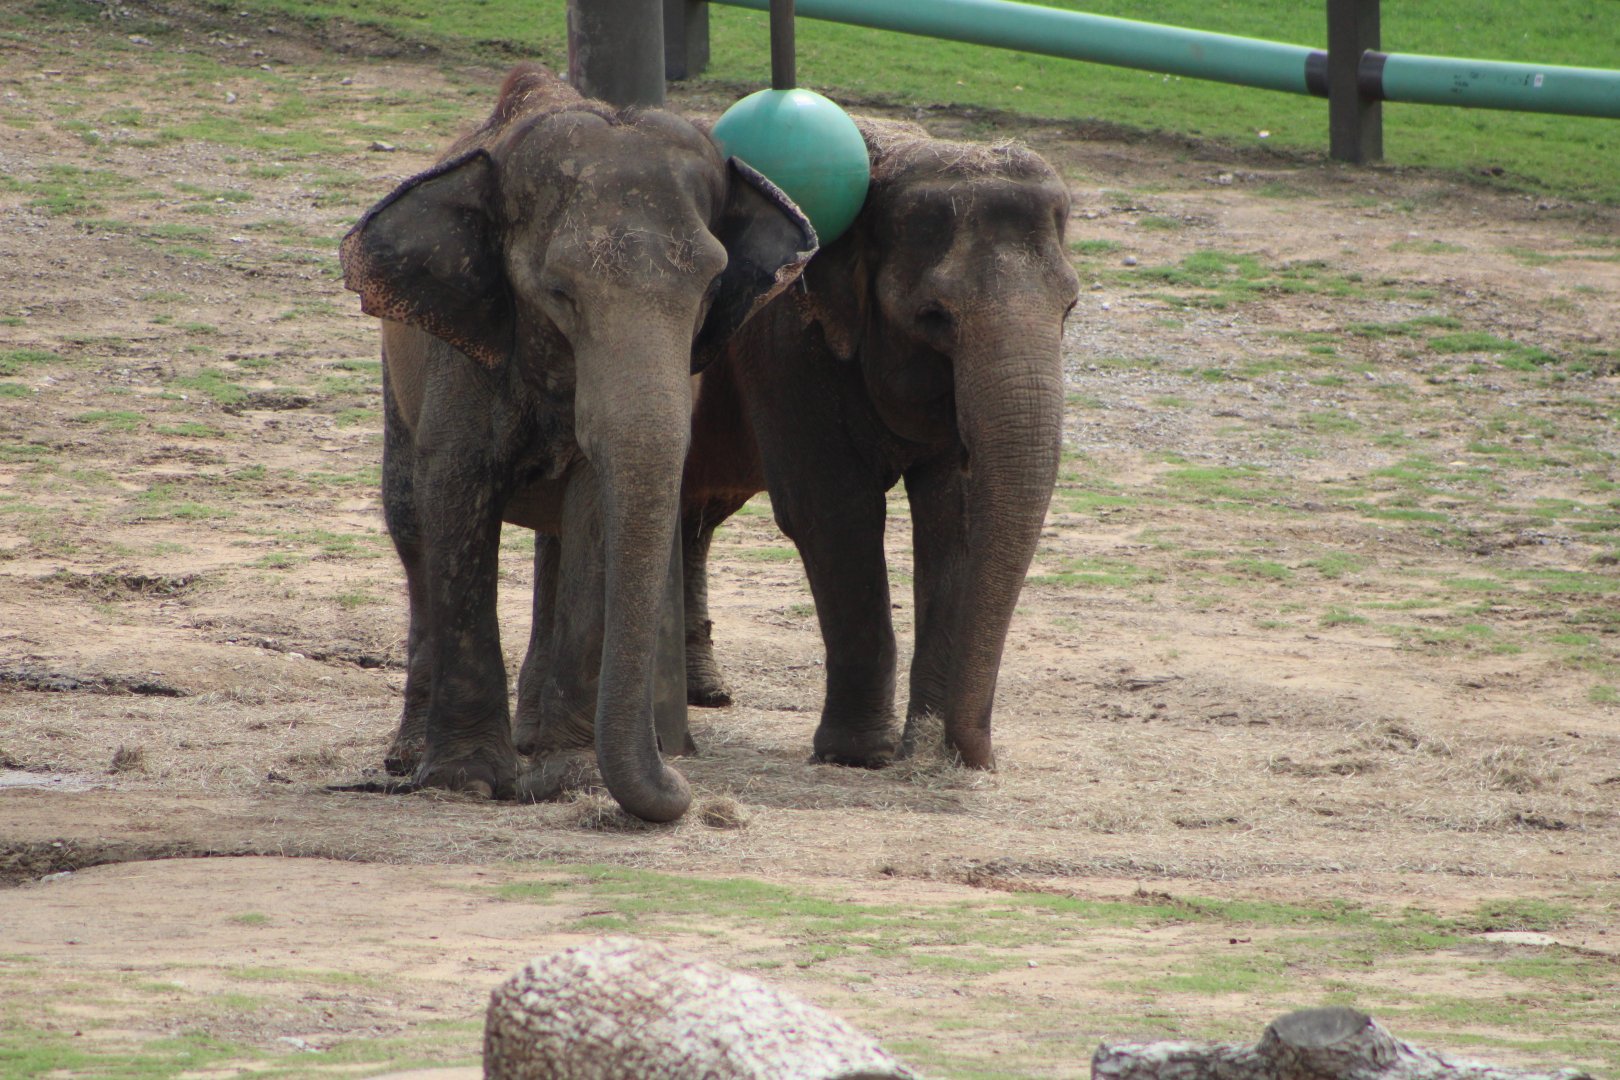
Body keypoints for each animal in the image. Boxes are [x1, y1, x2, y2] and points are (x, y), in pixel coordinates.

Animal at [339, 64, 815, 822]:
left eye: (712, 285)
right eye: (558, 291)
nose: (684, 784)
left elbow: (595, 510)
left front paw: (569, 778)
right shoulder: (463, 352)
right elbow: (455, 499)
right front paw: (469, 781)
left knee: (554, 541)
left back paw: (533, 739)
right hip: (394, 366)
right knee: (410, 519)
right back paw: (409, 758)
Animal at [680, 120, 1079, 770]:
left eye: (1069, 309)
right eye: (935, 316)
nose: (975, 758)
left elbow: (954, 517)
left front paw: (918, 748)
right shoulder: (785, 341)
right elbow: (832, 512)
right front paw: (859, 755)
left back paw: (706, 694)